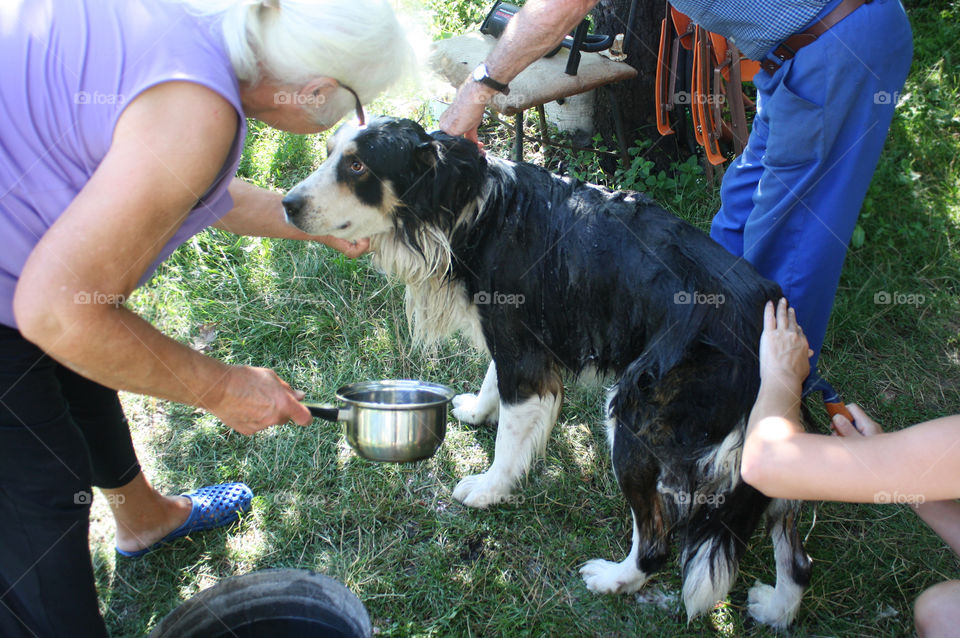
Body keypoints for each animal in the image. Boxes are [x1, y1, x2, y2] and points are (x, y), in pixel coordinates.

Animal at [284, 117, 808, 628]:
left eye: (356, 166)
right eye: (329, 152)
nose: (287, 205)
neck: (472, 210)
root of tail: (759, 333)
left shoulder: (525, 359)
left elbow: (509, 438)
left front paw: (489, 490)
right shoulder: (513, 336)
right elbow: (492, 379)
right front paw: (476, 411)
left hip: (635, 418)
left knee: (657, 542)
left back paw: (613, 578)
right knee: (797, 556)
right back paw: (778, 608)